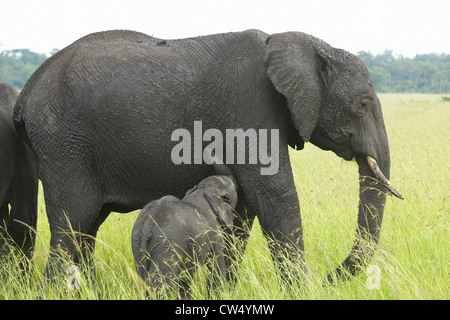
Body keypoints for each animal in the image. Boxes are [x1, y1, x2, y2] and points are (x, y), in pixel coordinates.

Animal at [13, 29, 404, 284]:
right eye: (362, 105)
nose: (330, 277)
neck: (308, 45)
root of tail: (26, 91)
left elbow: (244, 209)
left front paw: (226, 289)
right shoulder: (251, 105)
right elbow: (274, 195)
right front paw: (301, 290)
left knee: (86, 231)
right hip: (65, 146)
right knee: (71, 227)